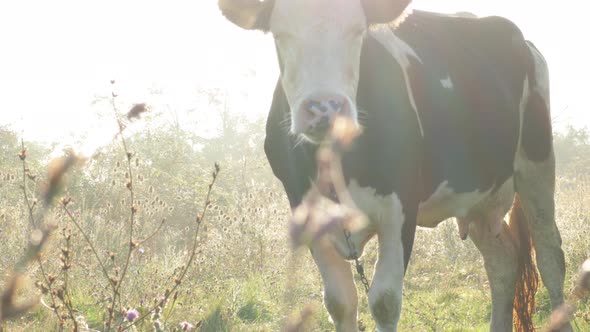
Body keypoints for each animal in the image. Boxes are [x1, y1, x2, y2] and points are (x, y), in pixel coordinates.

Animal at [220, 1, 572, 330]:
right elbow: (339, 302)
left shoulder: (400, 208)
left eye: (358, 33)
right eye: (280, 35)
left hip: (536, 163)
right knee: (502, 263)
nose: (324, 108)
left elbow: (385, 302)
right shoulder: (306, 210)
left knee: (550, 256)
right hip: (478, 196)